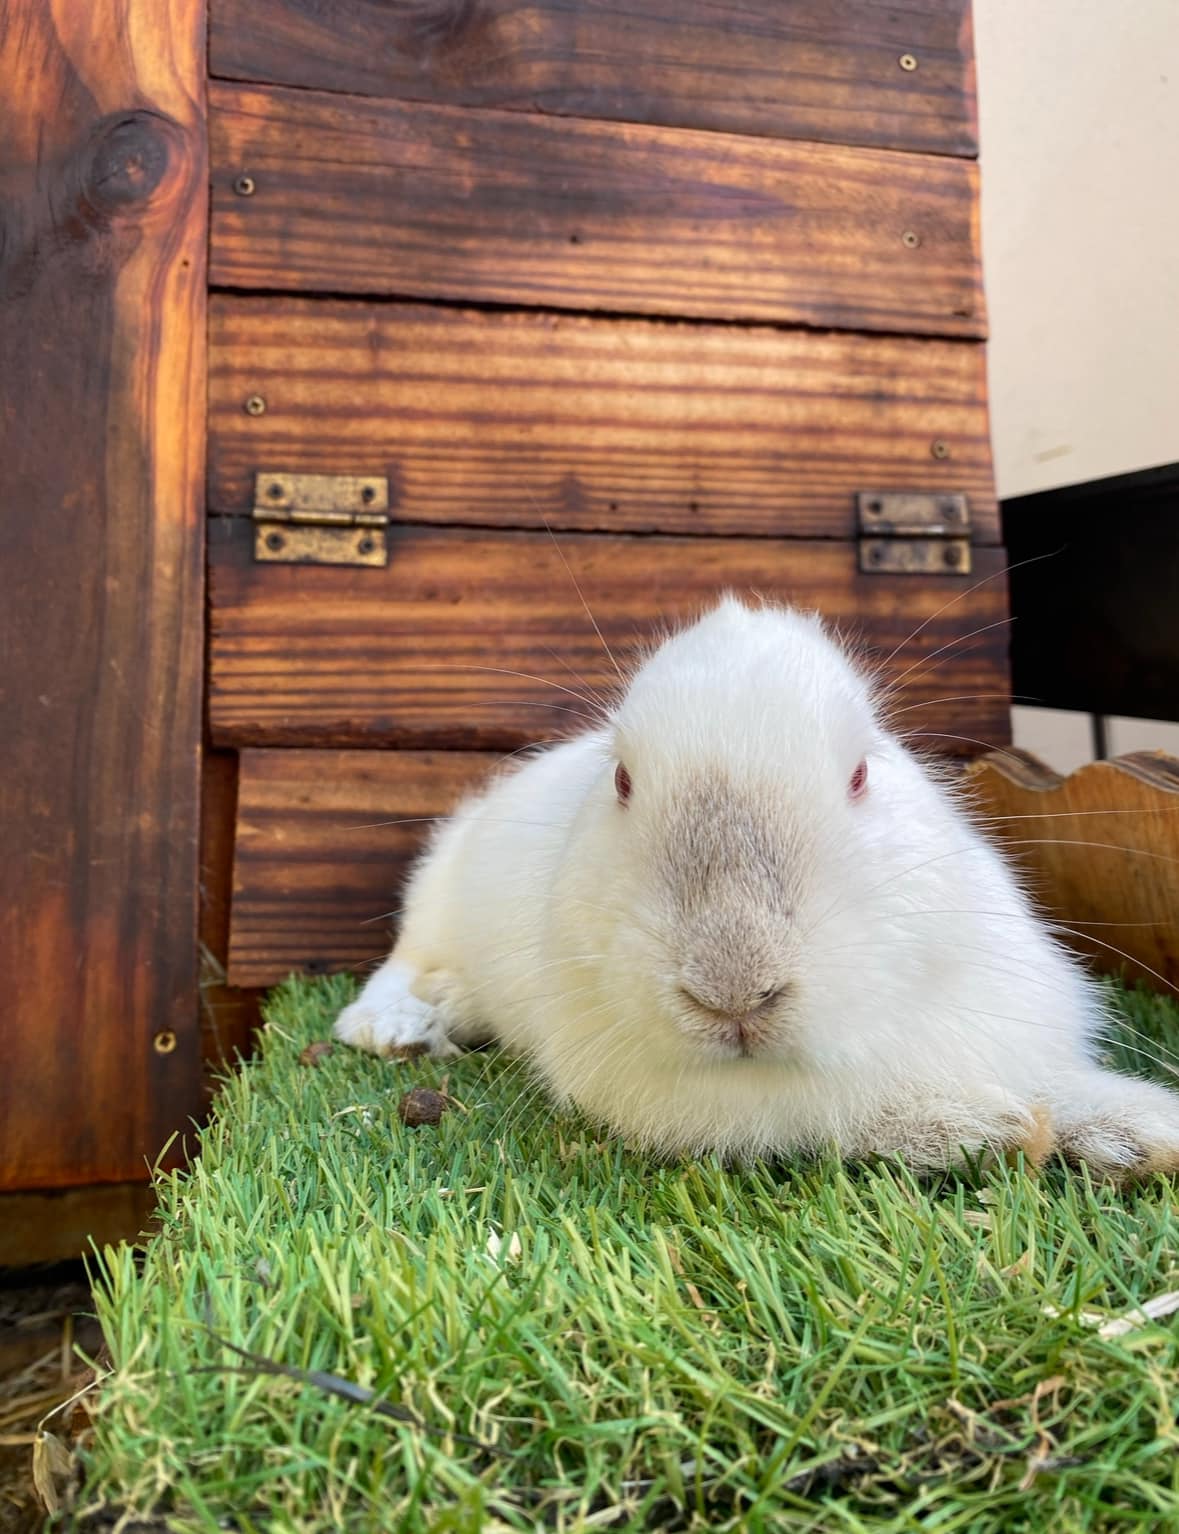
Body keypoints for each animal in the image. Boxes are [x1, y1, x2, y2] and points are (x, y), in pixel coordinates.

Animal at [333, 597, 1179, 1177]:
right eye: (622, 781)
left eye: (861, 773)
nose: (733, 992)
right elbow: (864, 1114)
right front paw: (993, 1127)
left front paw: (1137, 1131)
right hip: (436, 895)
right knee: (402, 964)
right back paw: (396, 1028)